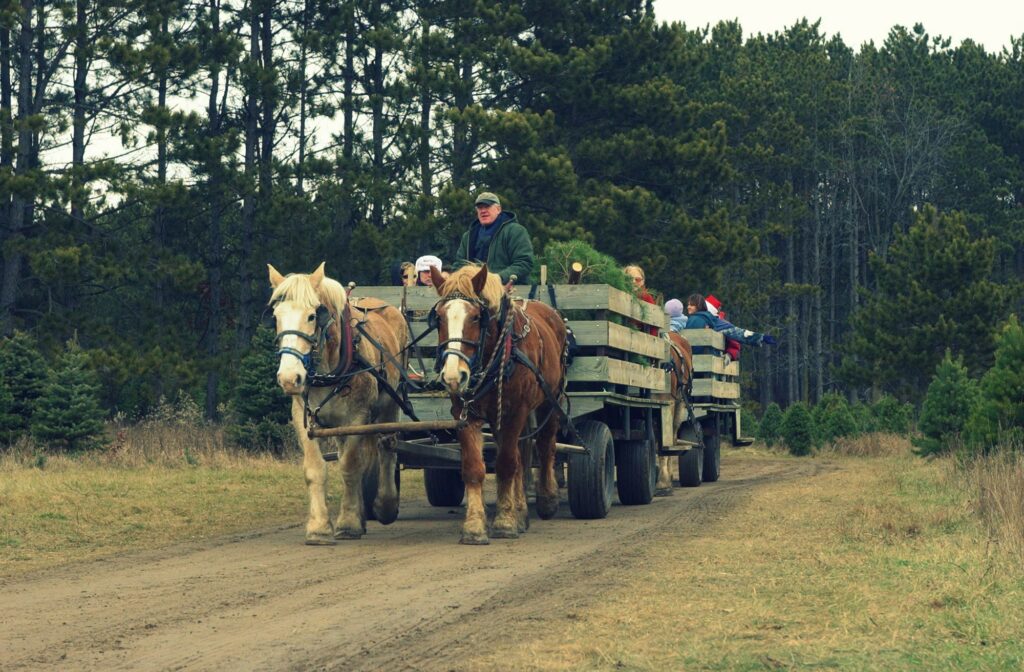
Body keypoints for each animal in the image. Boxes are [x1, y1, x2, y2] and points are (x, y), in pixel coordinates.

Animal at [268, 260, 407, 544]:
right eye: (276, 317)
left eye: (313, 316)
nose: (289, 378)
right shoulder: (303, 417)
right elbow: (315, 469)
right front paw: (319, 527)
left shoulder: (357, 417)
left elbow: (350, 466)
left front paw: (349, 523)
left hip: (390, 403)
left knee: (387, 448)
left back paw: (385, 505)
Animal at [425, 264, 569, 544]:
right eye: (439, 318)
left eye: (475, 317)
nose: (453, 376)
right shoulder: (465, 414)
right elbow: (474, 467)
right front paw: (474, 526)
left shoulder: (515, 412)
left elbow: (505, 464)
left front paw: (504, 521)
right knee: (523, 456)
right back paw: (521, 511)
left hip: (549, 401)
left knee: (545, 445)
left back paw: (547, 499)